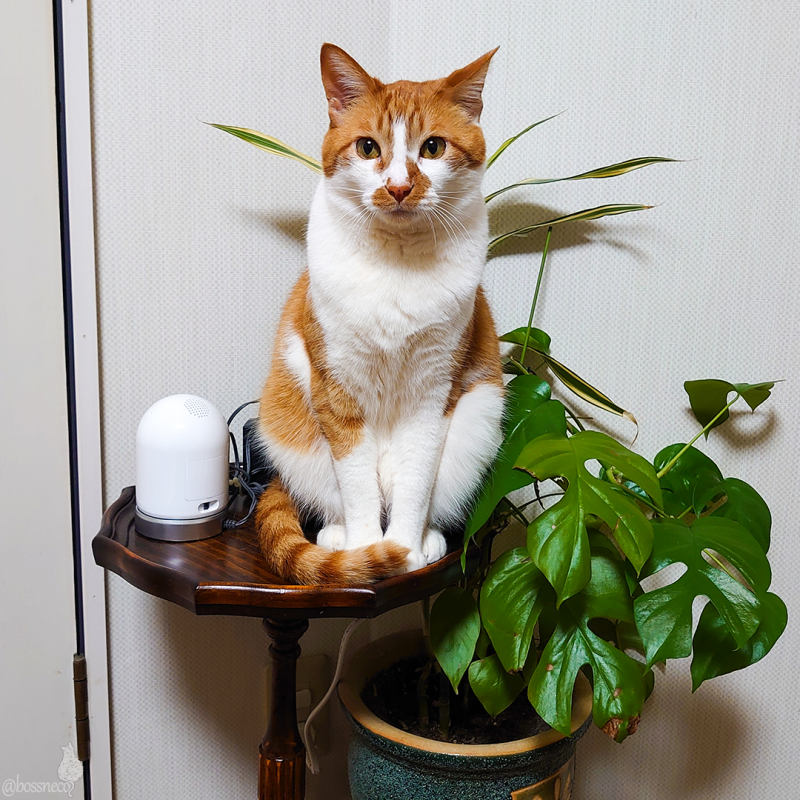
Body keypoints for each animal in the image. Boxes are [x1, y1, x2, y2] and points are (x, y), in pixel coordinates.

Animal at [254, 43, 504, 584]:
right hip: (289, 425)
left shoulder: (434, 393)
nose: (399, 187)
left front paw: (404, 549)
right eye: (369, 148)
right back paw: (338, 538)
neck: (397, 261)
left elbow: (415, 485)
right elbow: (358, 489)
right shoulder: (337, 391)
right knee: (334, 497)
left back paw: (428, 540)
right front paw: (367, 552)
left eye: (433, 148)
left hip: (476, 426)